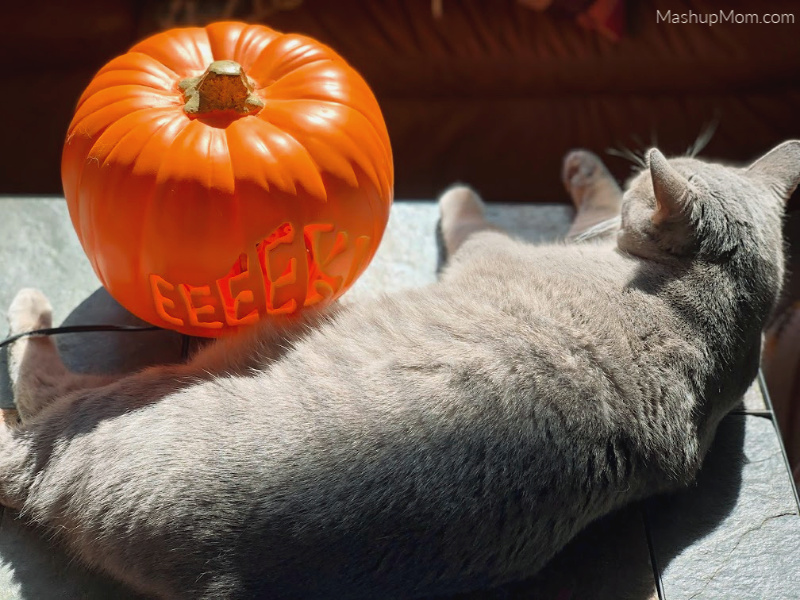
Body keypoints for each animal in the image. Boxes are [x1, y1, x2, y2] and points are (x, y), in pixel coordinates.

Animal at [1, 143, 800, 596]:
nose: (635, 170)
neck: (704, 313)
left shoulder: (492, 248)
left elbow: (472, 215)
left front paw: (471, 190)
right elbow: (587, 205)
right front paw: (590, 171)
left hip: (240, 344)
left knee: (38, 389)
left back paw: (30, 305)